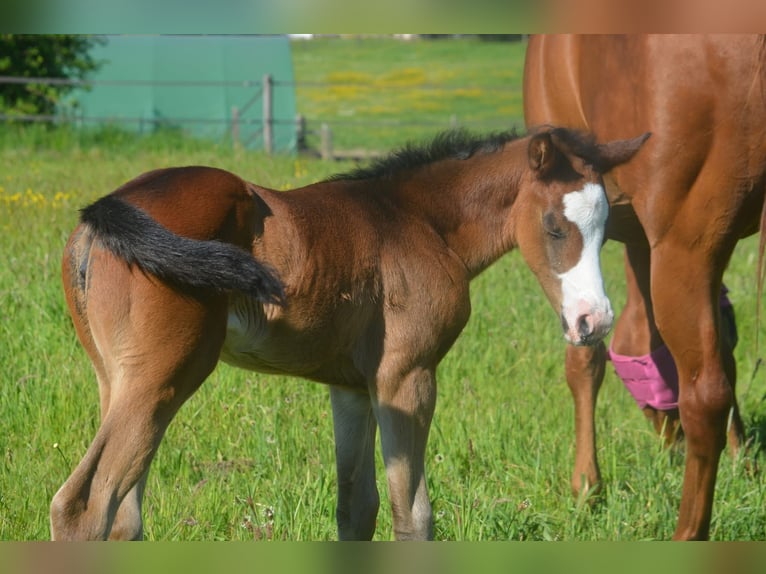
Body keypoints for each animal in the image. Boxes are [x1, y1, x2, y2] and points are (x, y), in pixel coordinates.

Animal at [50, 126, 648, 541]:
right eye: (554, 226)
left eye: (605, 229)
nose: (593, 320)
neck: (417, 219)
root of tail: (106, 211)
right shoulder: (406, 378)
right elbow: (414, 515)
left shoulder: (352, 389)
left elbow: (356, 510)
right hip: (165, 376)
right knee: (83, 506)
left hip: (118, 381)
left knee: (124, 514)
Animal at [523, 34, 766, 540]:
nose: (668, 438)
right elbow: (727, 348)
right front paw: (744, 462)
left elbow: (584, 356)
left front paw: (586, 486)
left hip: (685, 245)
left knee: (705, 394)